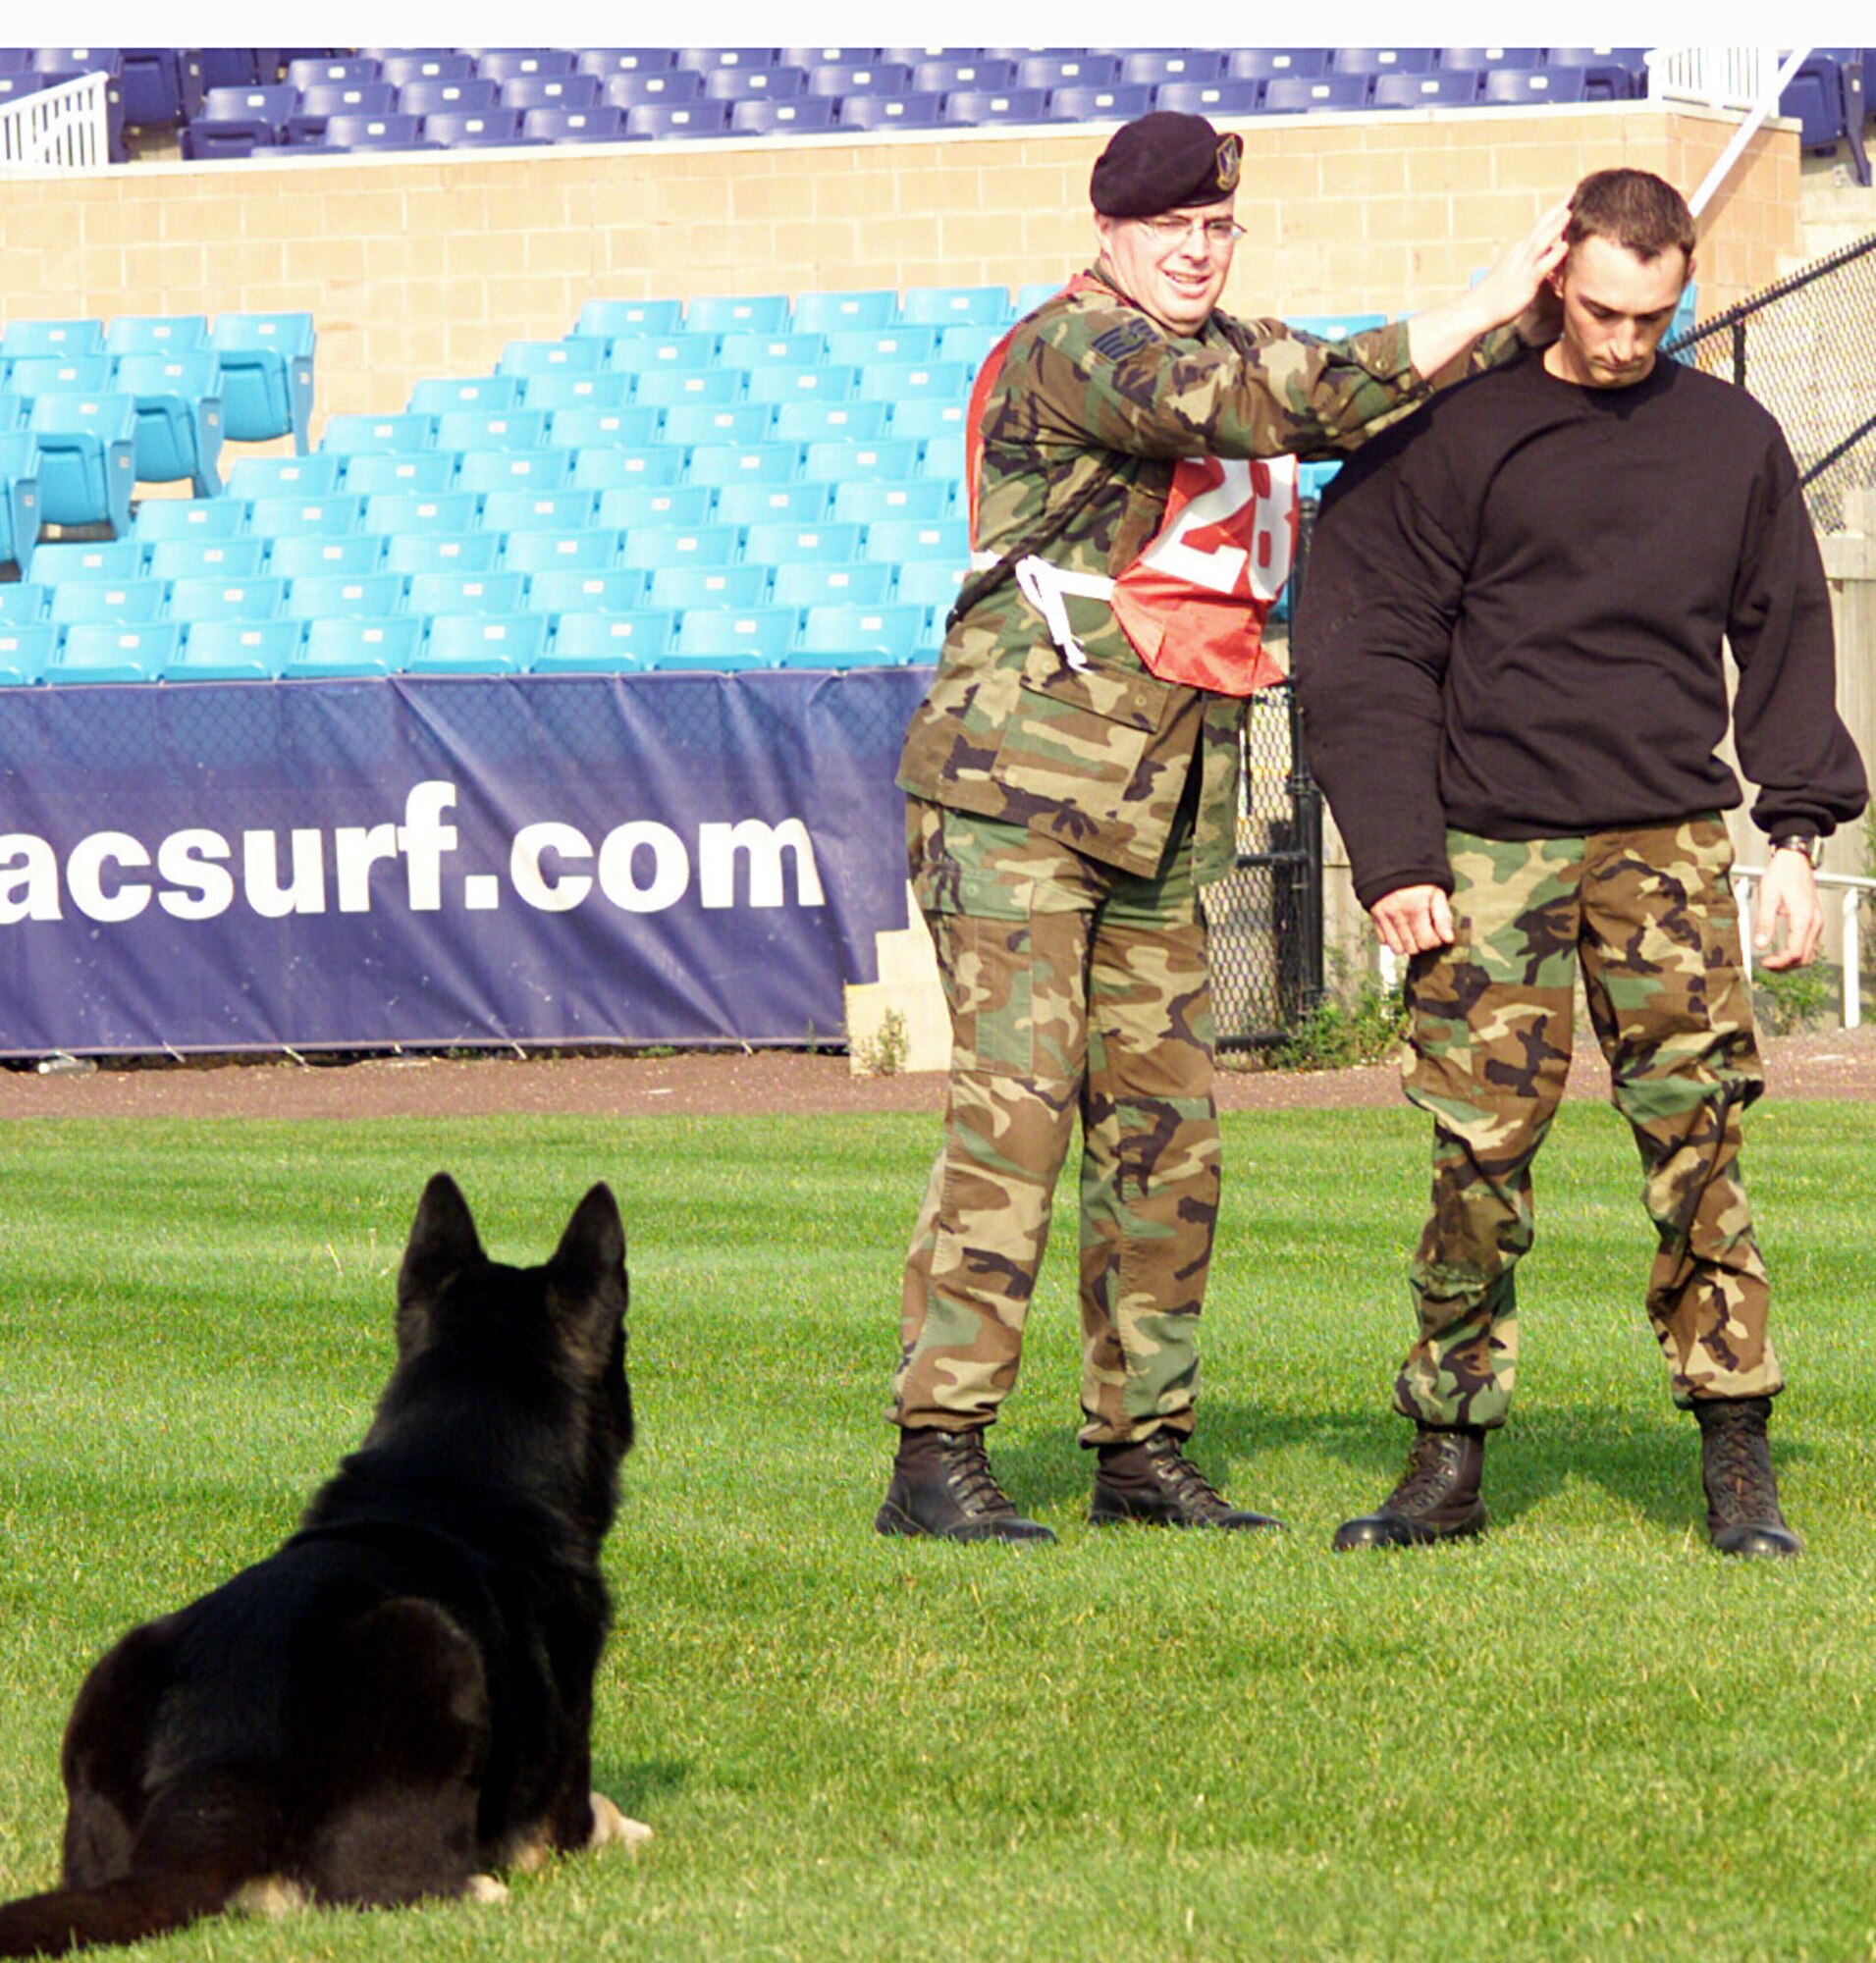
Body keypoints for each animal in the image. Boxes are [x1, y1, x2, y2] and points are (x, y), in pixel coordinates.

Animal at [0, 1170, 651, 1955]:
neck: (449, 1471)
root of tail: (214, 1774)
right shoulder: (559, 1791)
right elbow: (595, 1813)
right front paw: (627, 1824)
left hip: (118, 1669)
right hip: (434, 1645)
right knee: (363, 1887)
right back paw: (472, 1888)